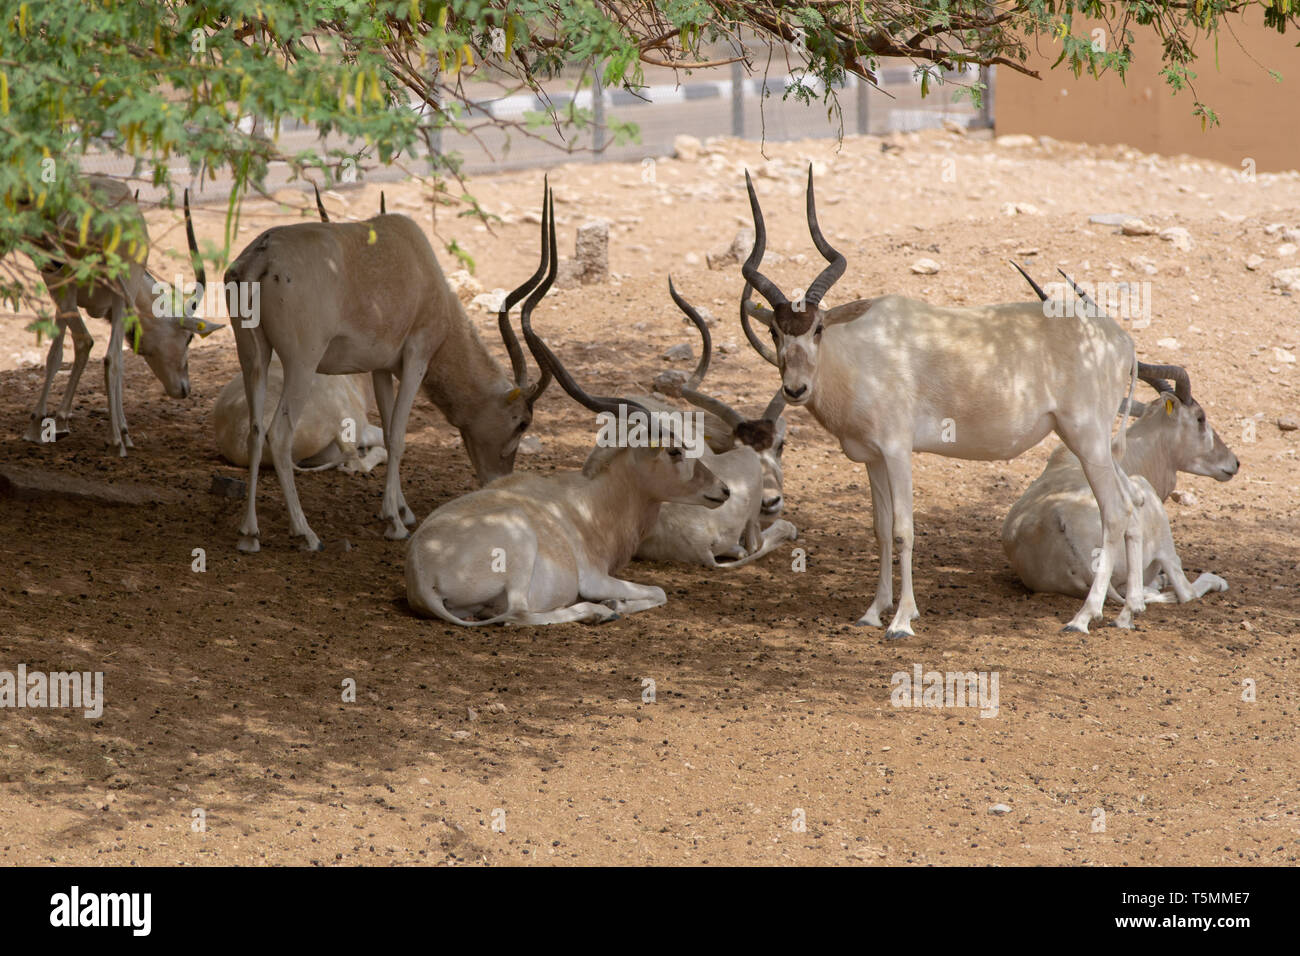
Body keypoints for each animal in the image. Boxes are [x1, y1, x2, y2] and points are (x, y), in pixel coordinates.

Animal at [20, 175, 220, 455]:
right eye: (189, 338)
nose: (185, 389)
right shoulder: (70, 291)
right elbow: (69, 352)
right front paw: (44, 423)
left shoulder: (71, 293)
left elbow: (72, 348)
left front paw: (56, 421)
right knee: (108, 356)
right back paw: (118, 438)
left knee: (98, 350)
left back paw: (116, 439)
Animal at [226, 180, 551, 554]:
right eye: (522, 423)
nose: (498, 481)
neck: (423, 270)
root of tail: (264, 254)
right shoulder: (417, 358)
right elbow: (397, 436)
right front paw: (395, 523)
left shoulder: (380, 368)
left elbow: (387, 424)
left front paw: (399, 510)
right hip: (302, 364)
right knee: (278, 434)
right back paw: (305, 533)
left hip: (253, 356)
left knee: (255, 430)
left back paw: (249, 534)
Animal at [405, 188, 733, 629]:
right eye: (674, 450)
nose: (722, 490)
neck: (589, 505)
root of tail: (422, 572)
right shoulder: (596, 576)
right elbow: (657, 592)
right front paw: (613, 605)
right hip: (521, 546)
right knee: (517, 614)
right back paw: (598, 612)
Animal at [743, 167, 1149, 639]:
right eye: (774, 331)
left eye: (819, 328)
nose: (795, 389)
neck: (862, 352)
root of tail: (1120, 340)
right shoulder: (872, 458)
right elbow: (880, 530)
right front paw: (872, 611)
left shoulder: (897, 451)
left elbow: (903, 530)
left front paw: (902, 620)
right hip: (1093, 442)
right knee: (1134, 502)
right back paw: (1127, 613)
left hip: (1086, 439)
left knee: (1115, 510)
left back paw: (1084, 617)